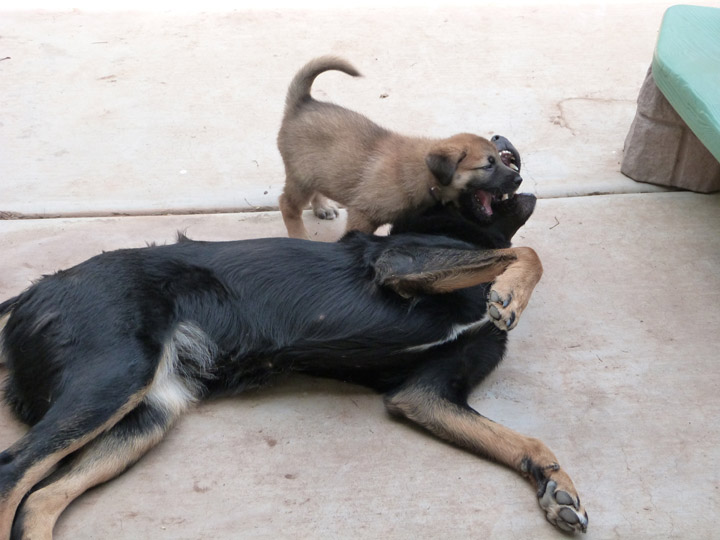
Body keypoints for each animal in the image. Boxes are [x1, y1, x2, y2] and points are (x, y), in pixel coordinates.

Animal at [278, 56, 520, 239]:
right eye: (488, 165)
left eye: (500, 159)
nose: (519, 179)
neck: (425, 175)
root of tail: (303, 102)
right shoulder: (362, 214)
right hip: (301, 176)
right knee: (287, 205)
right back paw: (299, 236)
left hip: (318, 170)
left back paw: (322, 207)